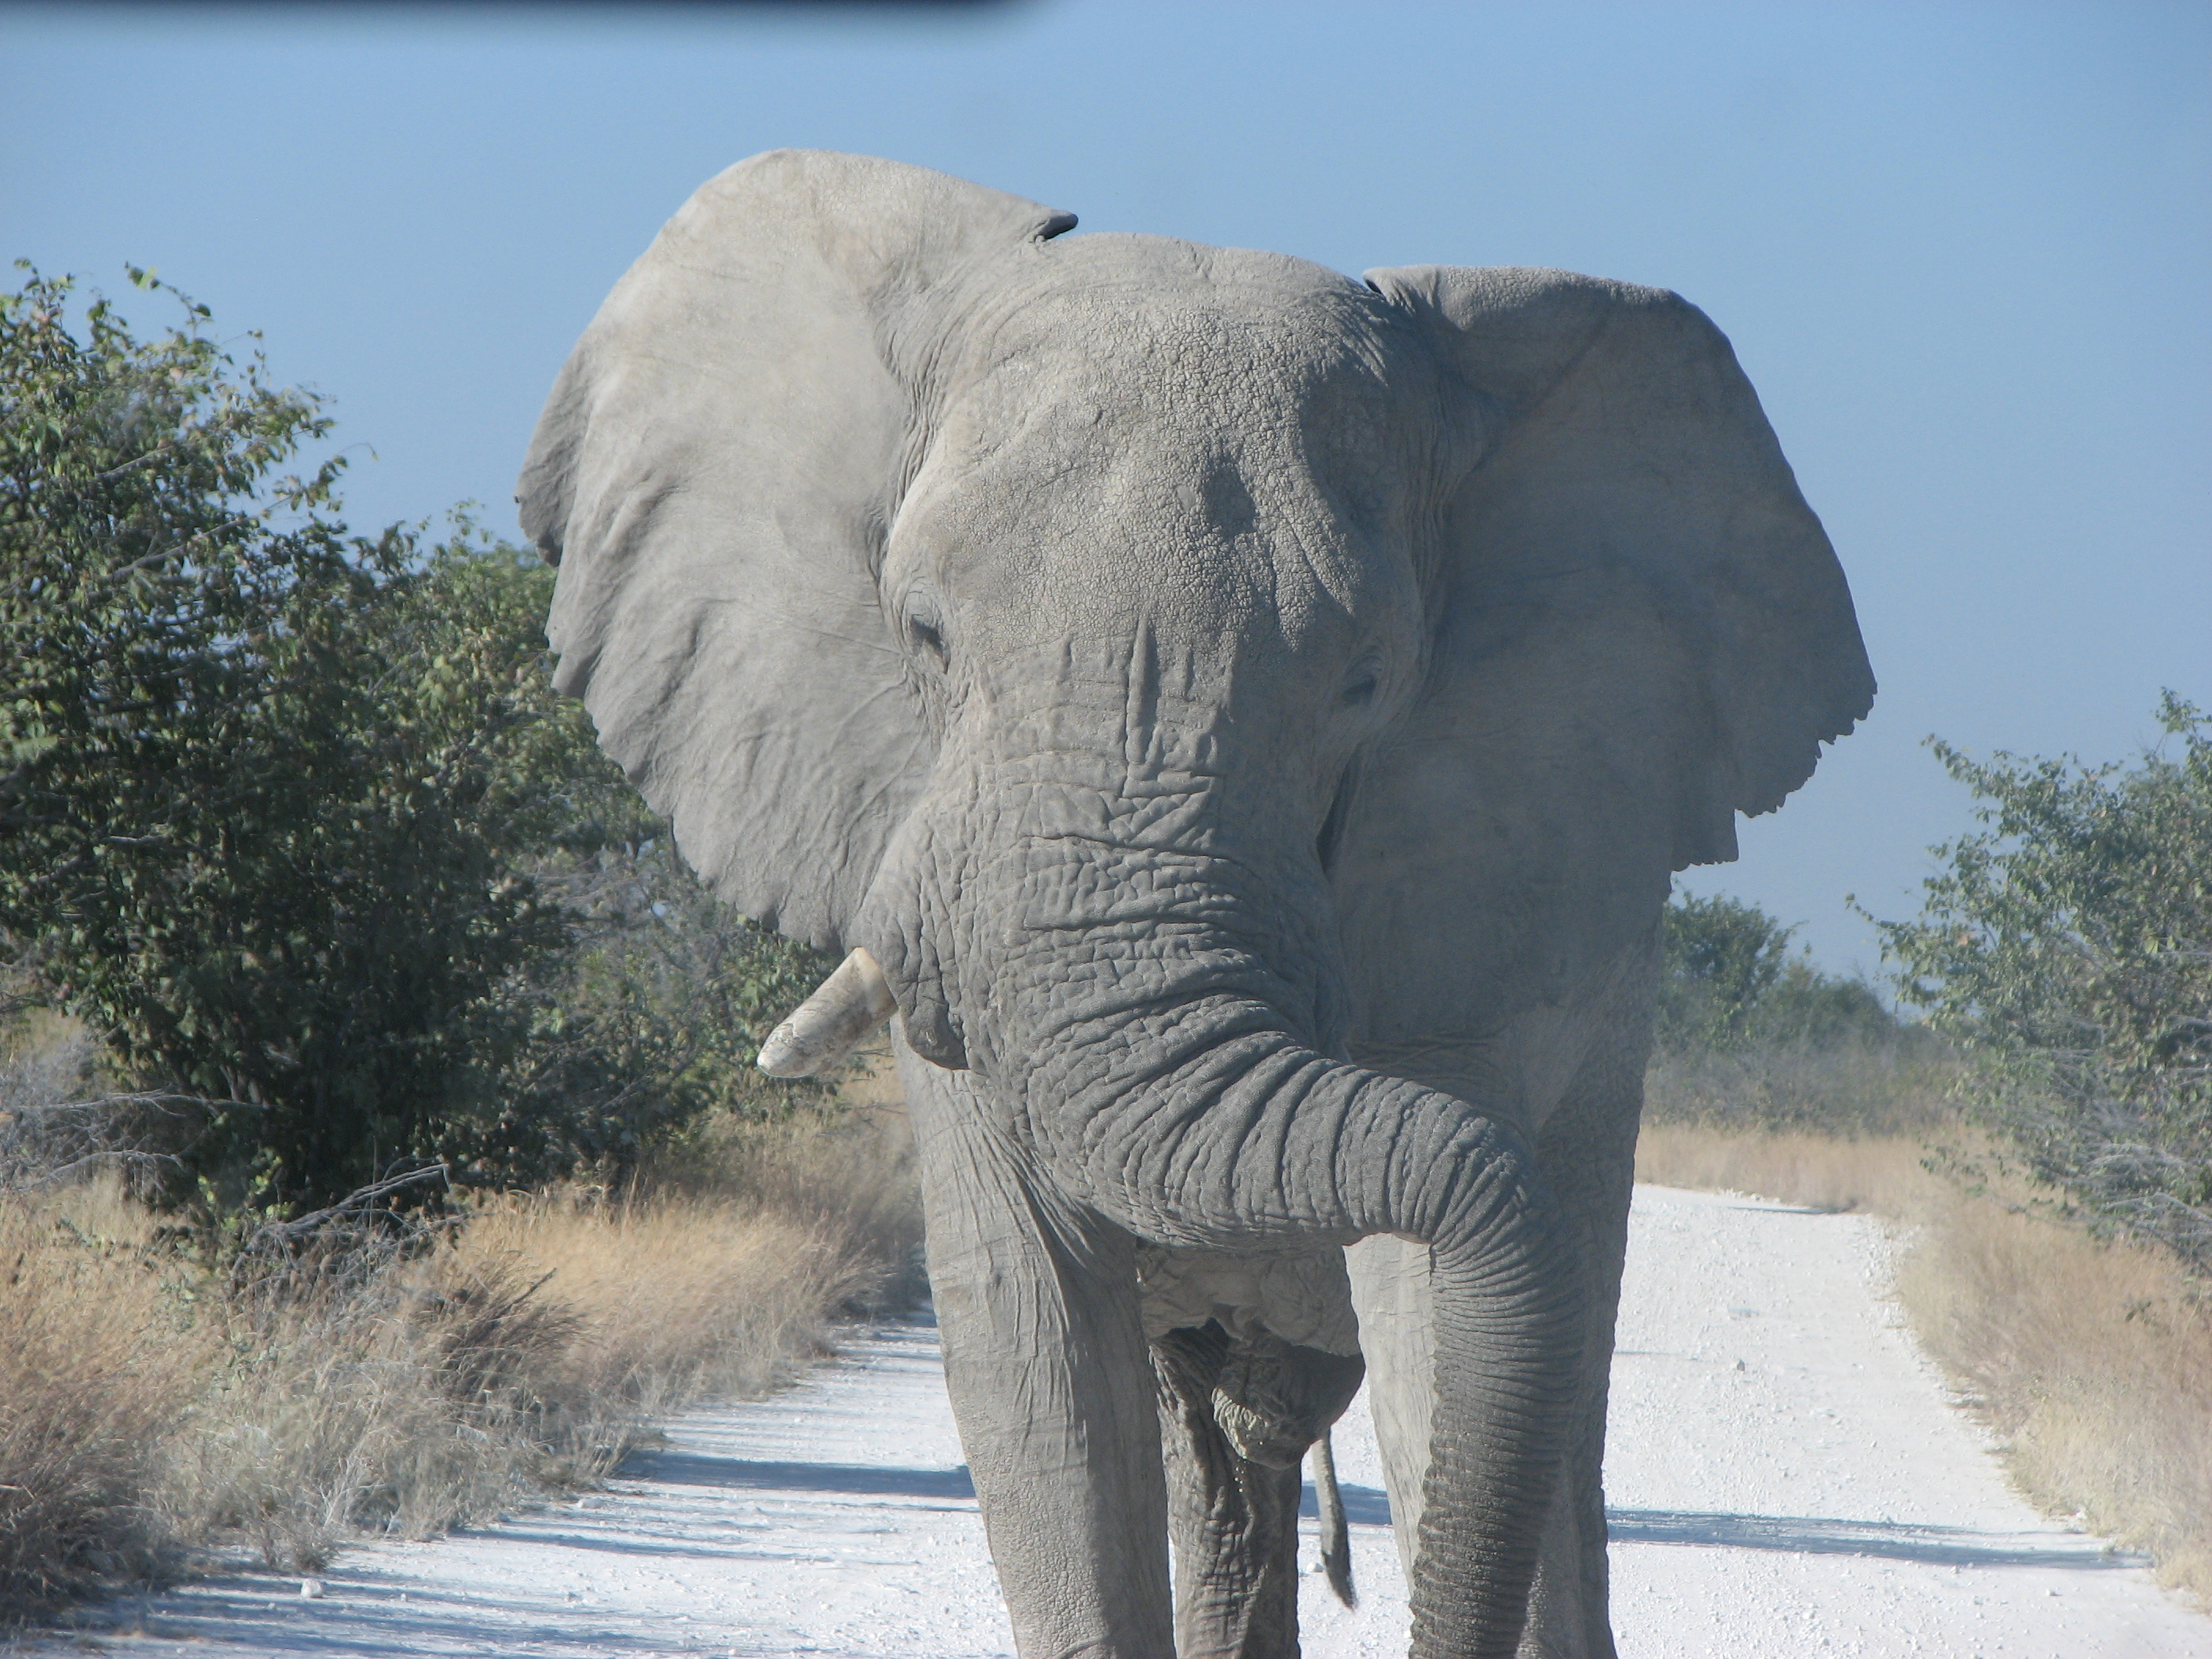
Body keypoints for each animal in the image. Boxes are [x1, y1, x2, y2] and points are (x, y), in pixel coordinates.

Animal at [517, 145, 1866, 1659]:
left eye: (1368, 681)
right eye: (923, 631)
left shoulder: (1481, 887)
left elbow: (1438, 1340)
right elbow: (1037, 1363)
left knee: (1550, 1410)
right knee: (1223, 1456)